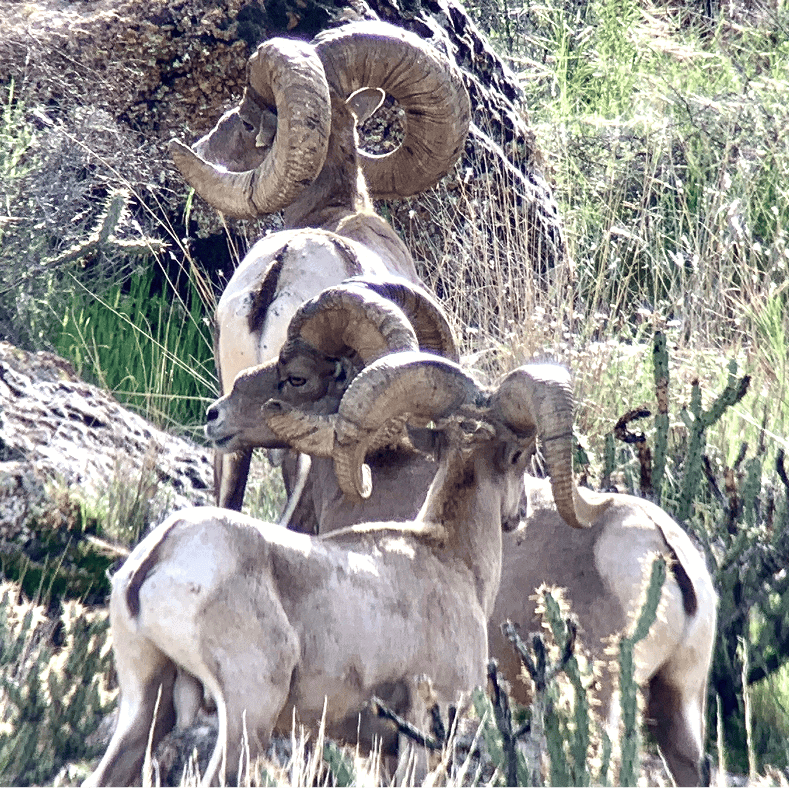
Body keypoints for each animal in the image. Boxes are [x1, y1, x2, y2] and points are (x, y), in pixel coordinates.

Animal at [83, 350, 592, 788]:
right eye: (524, 454)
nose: (518, 513)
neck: (451, 557)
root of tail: (161, 553)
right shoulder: (429, 722)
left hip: (146, 705)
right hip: (248, 714)